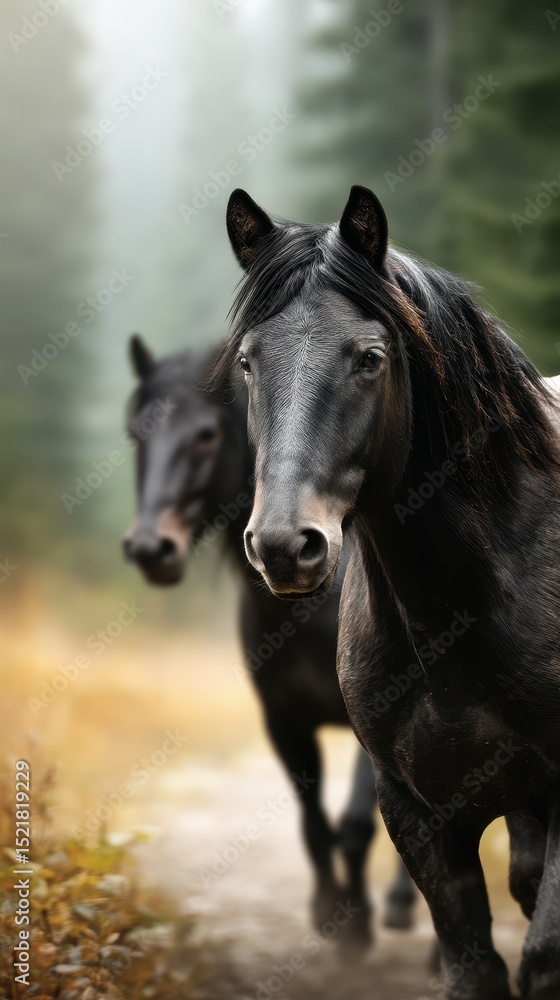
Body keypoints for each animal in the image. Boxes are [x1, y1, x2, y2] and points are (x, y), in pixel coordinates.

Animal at [122, 334, 416, 948]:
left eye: (206, 434)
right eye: (136, 433)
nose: (150, 548)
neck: (313, 607)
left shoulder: (372, 723)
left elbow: (356, 825)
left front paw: (357, 926)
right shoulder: (284, 720)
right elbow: (314, 825)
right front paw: (332, 913)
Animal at [216, 185, 560, 999]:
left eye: (370, 358)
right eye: (248, 362)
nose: (284, 545)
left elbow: (543, 959)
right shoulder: (418, 814)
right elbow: (473, 966)